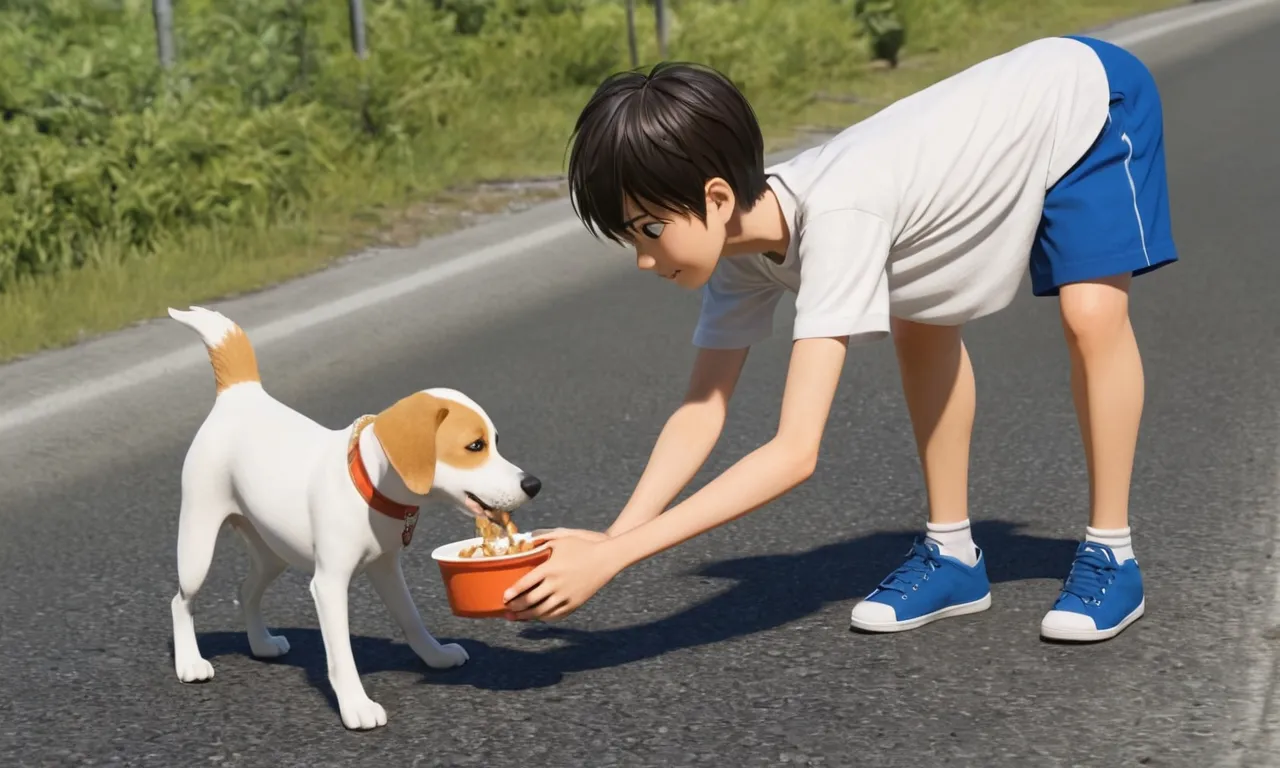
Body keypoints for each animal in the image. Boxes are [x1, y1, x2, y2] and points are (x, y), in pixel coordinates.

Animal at [166, 304, 540, 727]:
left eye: (495, 442)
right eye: (474, 446)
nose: (533, 484)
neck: (365, 484)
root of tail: (240, 393)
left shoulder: (386, 568)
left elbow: (411, 618)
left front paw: (436, 656)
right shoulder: (329, 585)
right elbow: (341, 656)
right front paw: (356, 706)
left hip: (271, 551)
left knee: (246, 590)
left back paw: (261, 644)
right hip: (197, 545)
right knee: (180, 601)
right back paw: (190, 663)